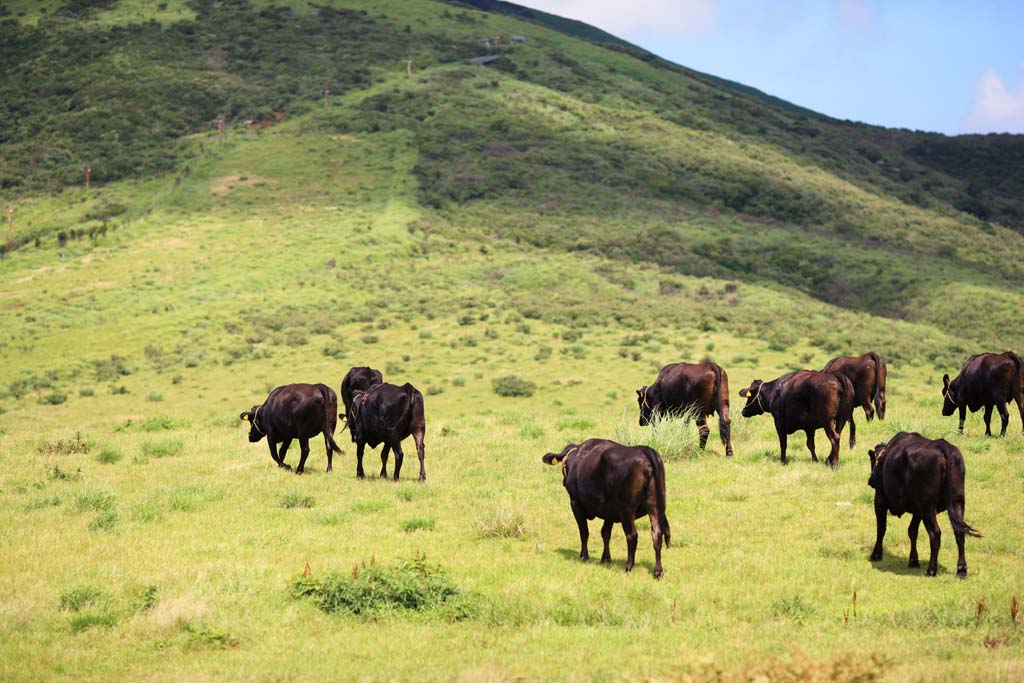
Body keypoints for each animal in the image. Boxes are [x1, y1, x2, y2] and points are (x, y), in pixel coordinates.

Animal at [544, 440, 671, 581]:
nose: (564, 481)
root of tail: (644, 450)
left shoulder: (575, 502)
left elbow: (584, 531)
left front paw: (584, 556)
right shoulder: (609, 510)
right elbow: (605, 532)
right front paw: (606, 558)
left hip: (627, 511)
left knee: (632, 536)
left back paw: (628, 567)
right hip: (654, 506)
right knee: (657, 534)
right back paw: (658, 571)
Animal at [868, 432, 978, 577]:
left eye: (872, 461)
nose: (870, 481)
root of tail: (941, 444)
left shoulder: (880, 499)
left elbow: (881, 528)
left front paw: (876, 555)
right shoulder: (917, 509)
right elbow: (912, 531)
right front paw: (913, 560)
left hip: (928, 506)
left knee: (935, 533)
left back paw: (931, 569)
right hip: (957, 501)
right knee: (959, 531)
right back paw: (961, 570)